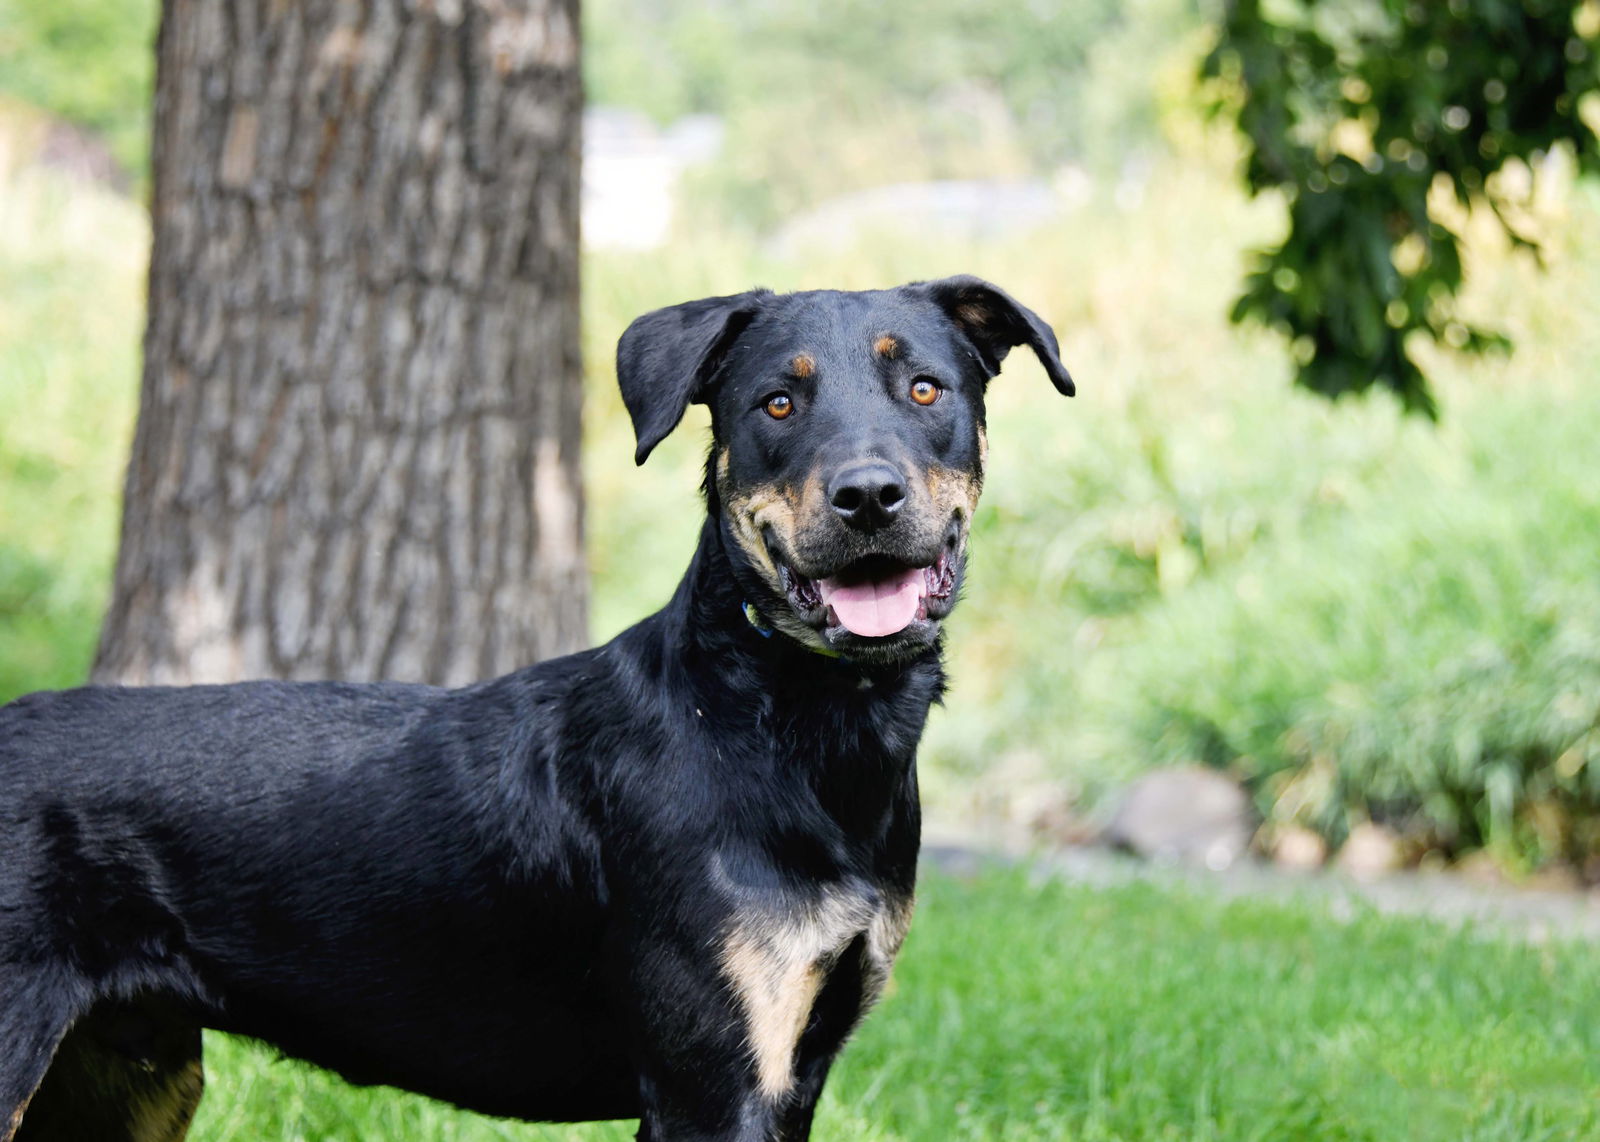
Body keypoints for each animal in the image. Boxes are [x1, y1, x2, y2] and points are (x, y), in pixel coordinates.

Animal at [3, 278, 1075, 1138]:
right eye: (777, 402)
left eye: (927, 390)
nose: (868, 496)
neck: (785, 723)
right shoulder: (710, 1084)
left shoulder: (796, 1071)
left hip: (126, 1078)